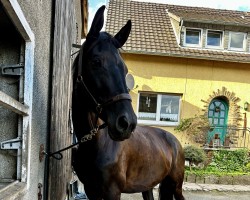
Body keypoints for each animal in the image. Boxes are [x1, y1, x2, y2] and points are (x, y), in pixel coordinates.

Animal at [71, 5, 185, 199]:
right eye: (96, 62)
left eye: (124, 68)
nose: (127, 123)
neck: (96, 143)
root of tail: (174, 141)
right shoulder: (90, 190)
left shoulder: (113, 191)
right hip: (148, 186)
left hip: (176, 186)